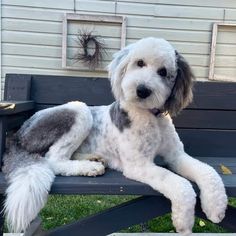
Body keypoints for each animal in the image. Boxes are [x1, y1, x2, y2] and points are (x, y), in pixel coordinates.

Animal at [2, 37, 227, 234]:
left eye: (163, 72)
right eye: (139, 63)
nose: (142, 90)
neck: (150, 117)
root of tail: (19, 135)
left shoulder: (176, 156)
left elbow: (207, 171)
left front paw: (216, 207)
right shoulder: (139, 165)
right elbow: (179, 183)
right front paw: (184, 221)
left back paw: (94, 158)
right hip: (79, 111)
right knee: (54, 159)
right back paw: (90, 168)